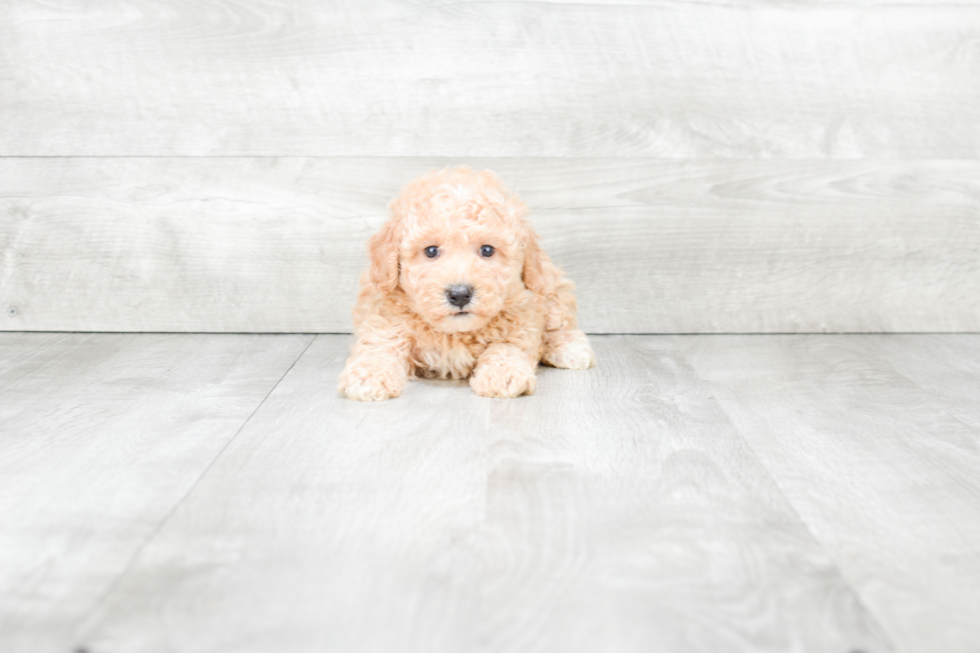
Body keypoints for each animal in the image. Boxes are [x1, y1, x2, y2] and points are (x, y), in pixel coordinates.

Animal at [336, 166, 596, 400]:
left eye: (487, 250)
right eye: (431, 251)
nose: (460, 294)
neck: (455, 333)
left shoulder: (522, 317)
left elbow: (508, 345)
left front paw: (503, 373)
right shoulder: (385, 319)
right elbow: (380, 346)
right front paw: (369, 375)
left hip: (548, 283)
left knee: (559, 322)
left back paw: (570, 349)